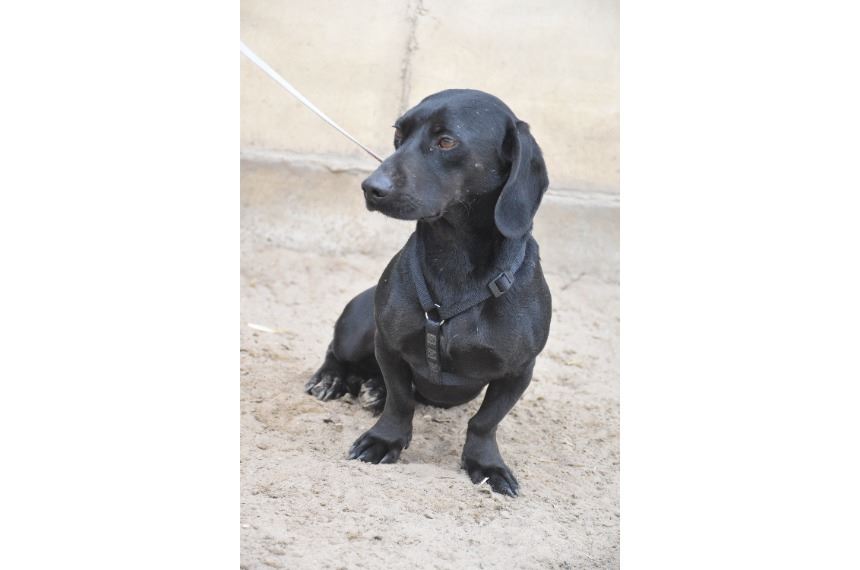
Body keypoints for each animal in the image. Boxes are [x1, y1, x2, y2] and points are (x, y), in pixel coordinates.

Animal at [304, 89, 552, 496]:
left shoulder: (518, 371)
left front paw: (486, 464)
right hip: (357, 330)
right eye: (398, 135)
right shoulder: (388, 345)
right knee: (336, 352)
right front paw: (384, 440)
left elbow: (485, 422)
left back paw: (371, 387)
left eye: (446, 141)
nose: (371, 188)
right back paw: (333, 378)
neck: (455, 262)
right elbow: (401, 401)